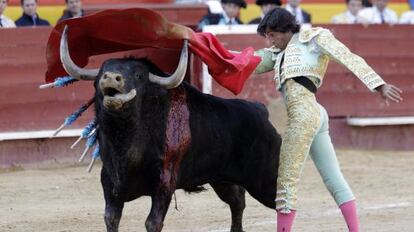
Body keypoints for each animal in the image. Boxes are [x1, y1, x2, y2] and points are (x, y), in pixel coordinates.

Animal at [60, 26, 282, 231]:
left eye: (139, 76)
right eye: (100, 72)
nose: (111, 77)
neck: (126, 139)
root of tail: (259, 108)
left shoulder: (164, 183)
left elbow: (153, 222)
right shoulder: (109, 183)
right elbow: (111, 218)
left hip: (266, 179)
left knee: (280, 202)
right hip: (221, 180)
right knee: (237, 201)